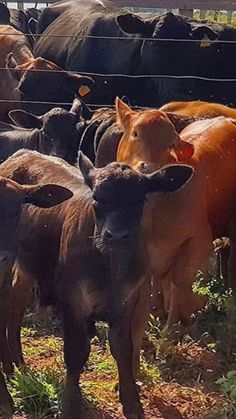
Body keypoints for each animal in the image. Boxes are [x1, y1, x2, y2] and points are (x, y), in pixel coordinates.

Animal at [115, 98, 236, 324]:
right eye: (135, 133)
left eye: (170, 144)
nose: (149, 168)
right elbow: (155, 279)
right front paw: (156, 313)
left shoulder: (199, 241)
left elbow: (179, 282)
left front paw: (174, 324)